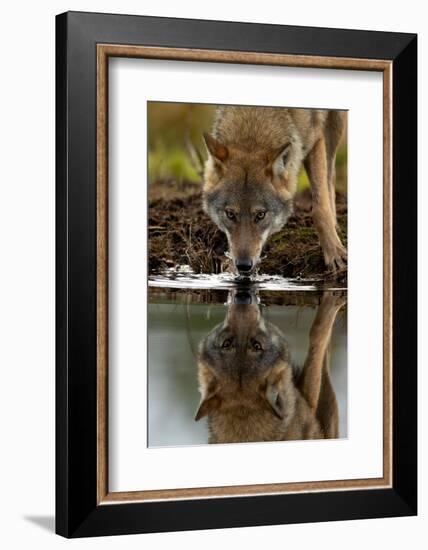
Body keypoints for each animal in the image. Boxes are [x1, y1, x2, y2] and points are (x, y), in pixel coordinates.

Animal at [194, 294, 344, 444]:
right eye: (257, 345)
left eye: (226, 344)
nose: (242, 298)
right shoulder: (310, 403)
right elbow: (317, 335)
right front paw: (334, 298)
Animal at [202, 106, 346, 276]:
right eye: (230, 214)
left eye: (260, 215)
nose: (243, 265)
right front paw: (231, 266)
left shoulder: (316, 139)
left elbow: (319, 209)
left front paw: (334, 252)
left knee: (330, 175)